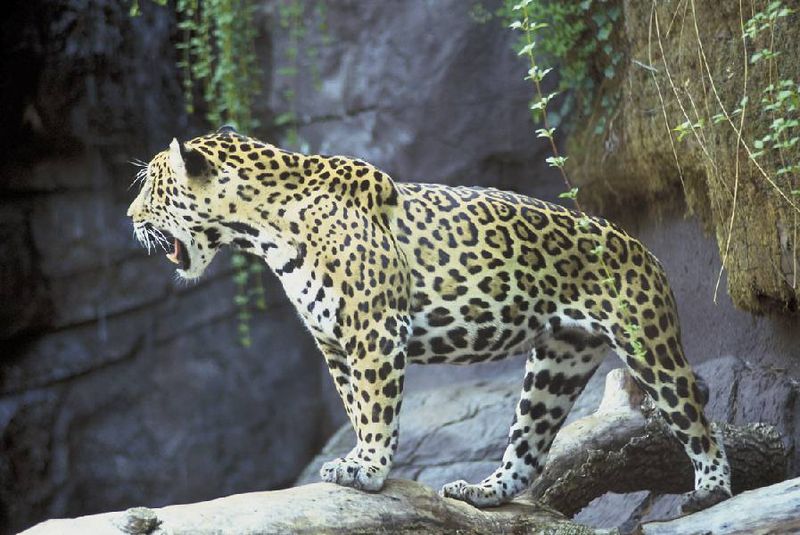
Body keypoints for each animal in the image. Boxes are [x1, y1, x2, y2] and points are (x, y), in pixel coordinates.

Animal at [127, 126, 732, 513]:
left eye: (152, 185)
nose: (129, 217)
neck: (262, 227)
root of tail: (641, 246)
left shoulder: (373, 330)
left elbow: (376, 406)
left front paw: (368, 468)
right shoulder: (333, 342)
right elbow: (354, 406)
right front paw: (360, 460)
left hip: (647, 342)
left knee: (692, 412)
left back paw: (712, 488)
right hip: (556, 363)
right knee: (529, 447)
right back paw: (484, 492)